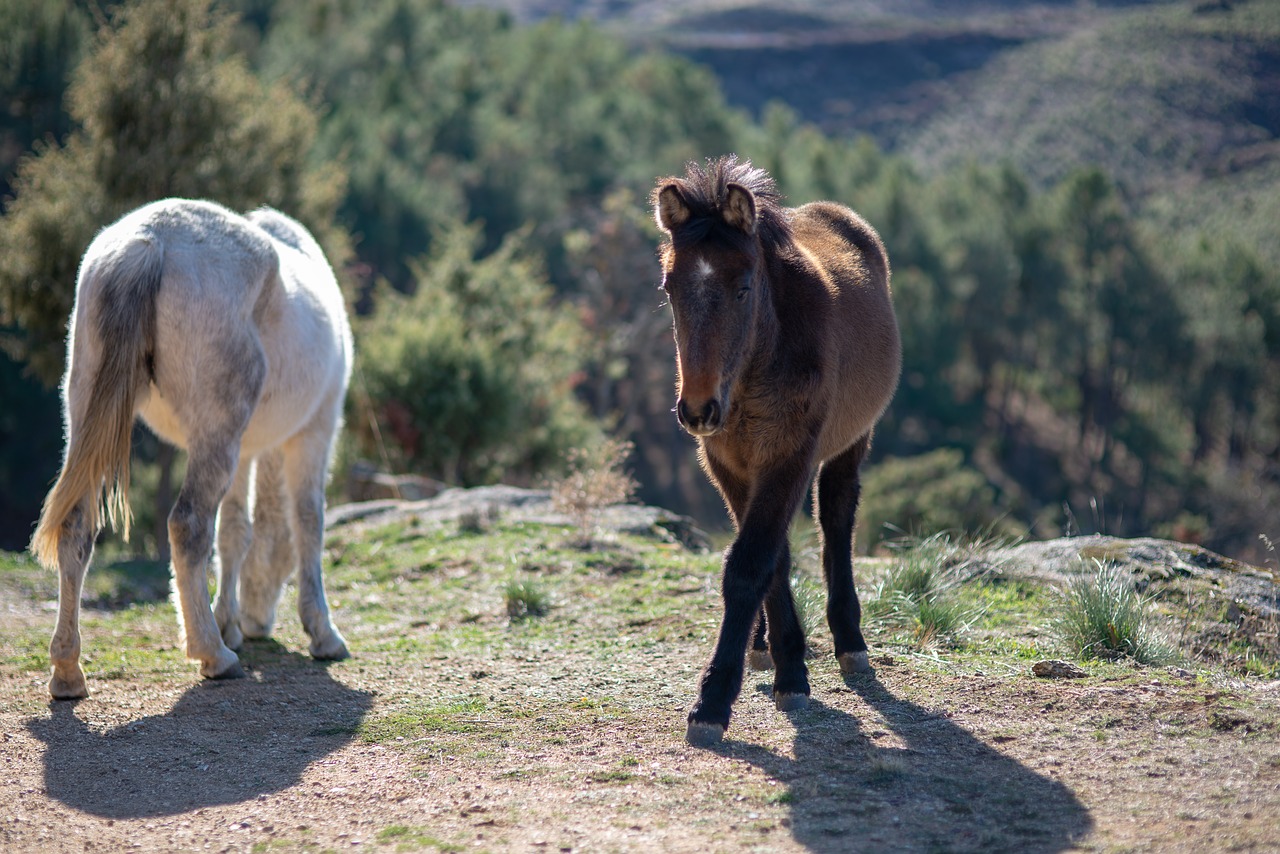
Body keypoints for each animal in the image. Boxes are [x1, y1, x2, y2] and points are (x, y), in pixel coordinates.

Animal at [31, 198, 350, 701]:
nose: (260, 622)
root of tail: (147, 242)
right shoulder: (313, 433)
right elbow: (307, 523)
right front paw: (322, 632)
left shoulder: (246, 450)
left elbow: (236, 531)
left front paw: (230, 621)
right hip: (218, 436)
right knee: (188, 525)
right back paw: (214, 655)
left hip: (90, 417)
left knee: (77, 529)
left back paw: (67, 672)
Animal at [655, 156, 896, 742]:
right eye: (670, 286)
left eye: (744, 287)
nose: (698, 410)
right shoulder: (730, 465)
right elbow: (767, 558)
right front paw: (786, 661)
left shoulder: (789, 457)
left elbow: (750, 565)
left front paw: (714, 701)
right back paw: (764, 645)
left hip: (850, 443)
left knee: (836, 518)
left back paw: (850, 642)